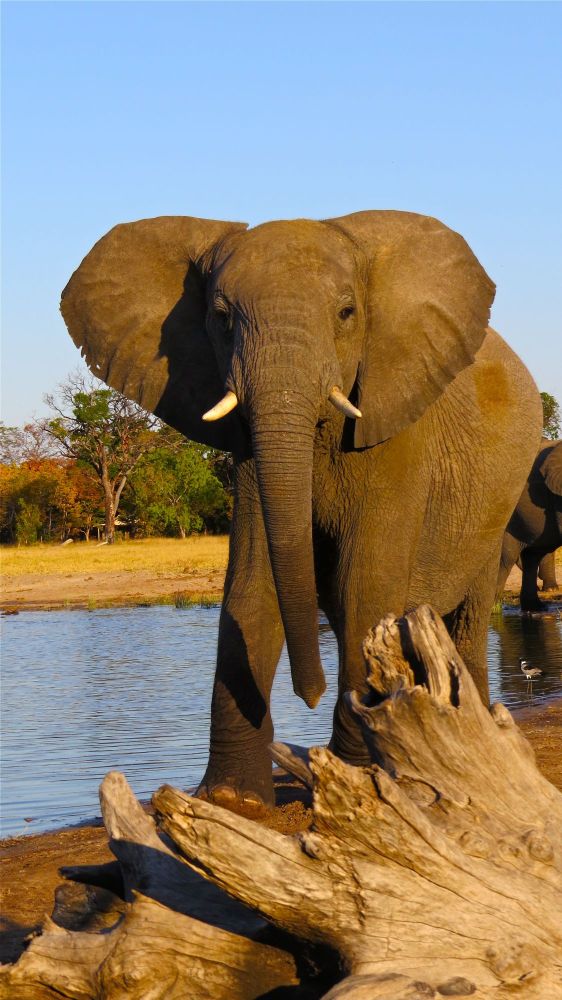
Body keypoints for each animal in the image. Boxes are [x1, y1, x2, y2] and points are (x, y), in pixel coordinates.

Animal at [61, 210, 542, 808]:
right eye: (221, 318)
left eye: (346, 313)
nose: (310, 696)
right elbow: (251, 583)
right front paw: (232, 798)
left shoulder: (397, 429)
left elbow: (366, 583)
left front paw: (362, 771)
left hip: (497, 507)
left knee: (468, 619)